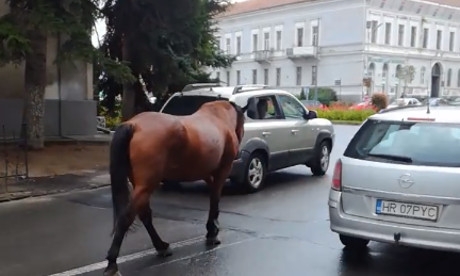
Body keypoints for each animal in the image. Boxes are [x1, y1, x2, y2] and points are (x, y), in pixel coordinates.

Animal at [104, 99, 248, 276]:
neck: (219, 118)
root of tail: (134, 125)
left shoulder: (206, 173)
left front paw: (212, 228)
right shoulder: (222, 170)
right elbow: (215, 199)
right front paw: (212, 232)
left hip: (140, 184)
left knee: (144, 214)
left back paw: (161, 246)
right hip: (147, 184)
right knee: (127, 217)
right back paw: (112, 263)